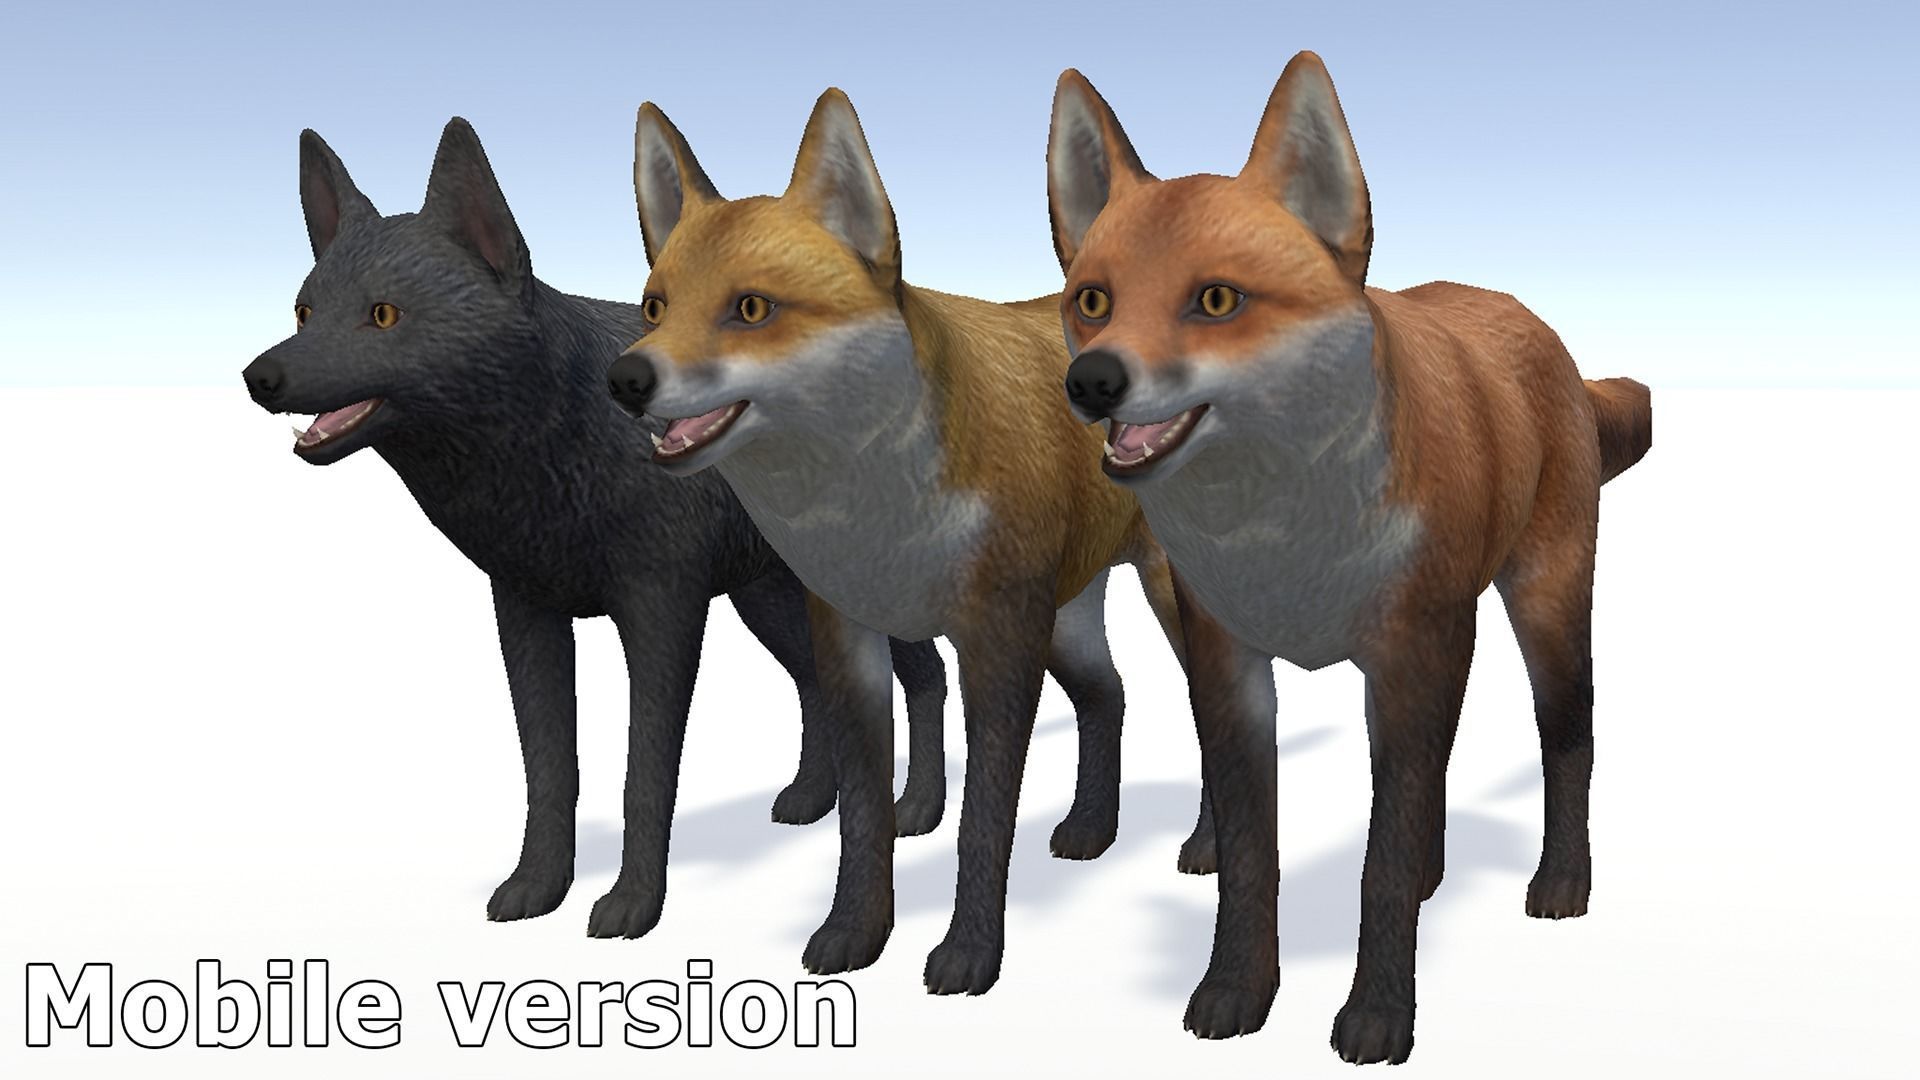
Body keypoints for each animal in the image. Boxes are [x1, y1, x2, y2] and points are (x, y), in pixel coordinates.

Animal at [240, 118, 947, 940]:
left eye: (383, 314)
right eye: (304, 312)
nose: (258, 377)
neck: (551, 442)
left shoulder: (661, 614)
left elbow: (645, 773)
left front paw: (633, 904)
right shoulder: (527, 615)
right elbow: (550, 771)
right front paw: (538, 886)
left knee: (926, 676)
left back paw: (918, 808)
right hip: (766, 600)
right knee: (814, 684)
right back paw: (812, 798)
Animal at [605, 89, 1197, 993]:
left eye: (751, 309)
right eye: (654, 307)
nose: (626, 380)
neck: (879, 514)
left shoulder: (996, 644)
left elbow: (983, 818)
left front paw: (970, 953)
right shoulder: (849, 640)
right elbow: (862, 817)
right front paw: (857, 931)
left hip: (1138, 612)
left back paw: (1204, 847)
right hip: (1064, 622)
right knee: (1111, 696)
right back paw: (1093, 829)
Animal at [1045, 53, 1651, 1062]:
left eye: (1216, 300)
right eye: (1093, 302)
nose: (1091, 382)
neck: (1286, 540)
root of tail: (1525, 317)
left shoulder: (1406, 657)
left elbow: (1382, 861)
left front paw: (1377, 1014)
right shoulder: (1230, 664)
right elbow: (1252, 855)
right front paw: (1236, 991)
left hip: (1544, 612)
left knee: (1569, 736)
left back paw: (1563, 881)